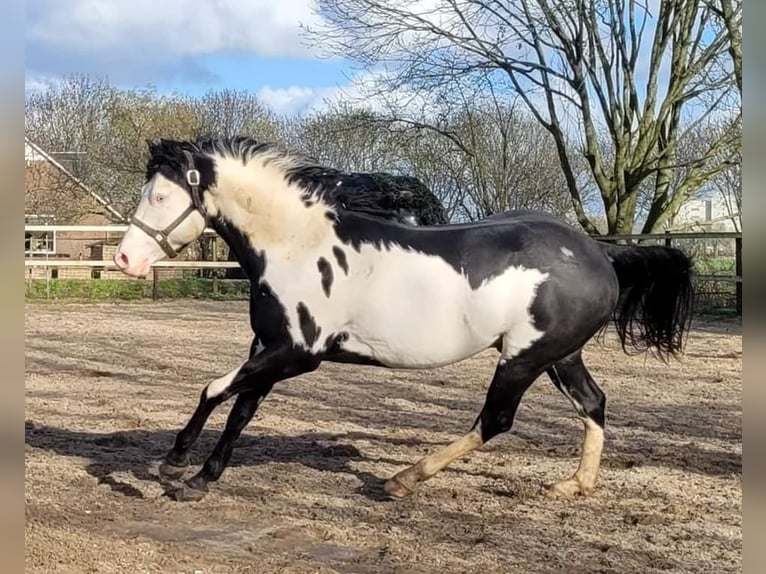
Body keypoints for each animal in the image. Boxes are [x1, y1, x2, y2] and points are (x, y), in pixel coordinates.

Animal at [114, 137, 696, 506]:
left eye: (160, 195)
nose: (125, 260)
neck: (296, 246)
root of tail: (599, 252)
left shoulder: (299, 354)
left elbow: (214, 389)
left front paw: (173, 464)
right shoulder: (269, 348)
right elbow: (240, 410)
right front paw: (199, 479)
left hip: (523, 358)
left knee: (495, 421)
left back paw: (402, 479)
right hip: (559, 355)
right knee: (593, 404)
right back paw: (573, 485)